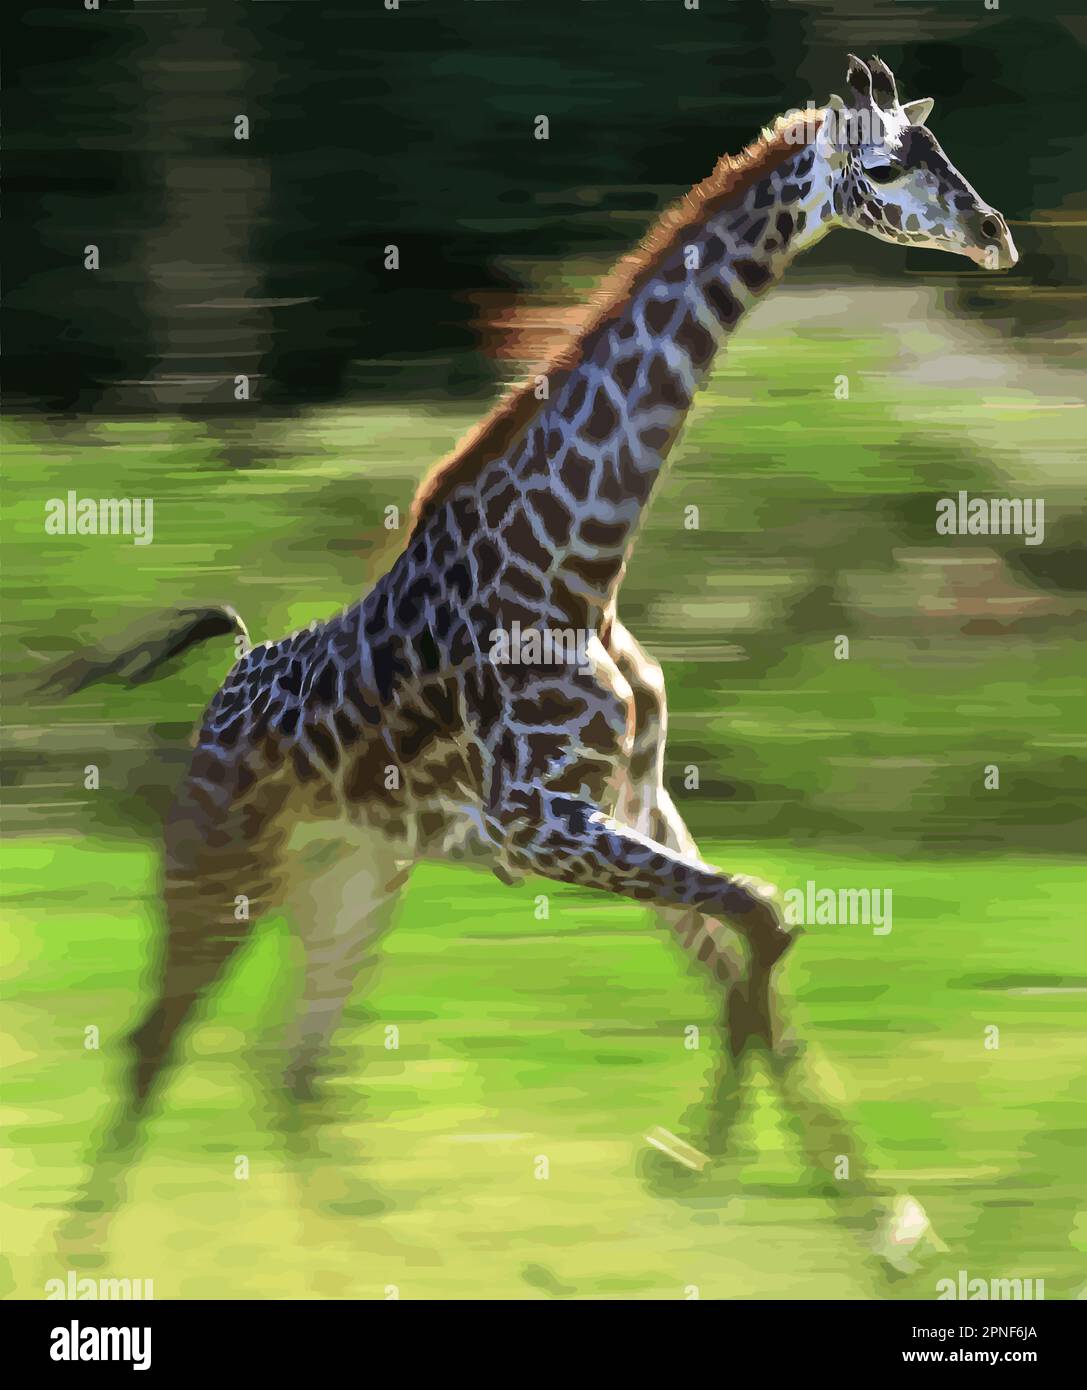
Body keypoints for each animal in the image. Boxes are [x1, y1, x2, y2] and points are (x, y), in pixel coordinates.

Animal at [63, 56, 1017, 1150]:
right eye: (889, 162)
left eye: (943, 148)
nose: (994, 230)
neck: (580, 569)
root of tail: (229, 671)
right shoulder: (540, 820)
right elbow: (764, 919)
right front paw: (692, 1156)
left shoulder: (633, 803)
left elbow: (766, 970)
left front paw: (841, 1192)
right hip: (219, 864)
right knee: (153, 1047)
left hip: (352, 873)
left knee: (294, 1073)